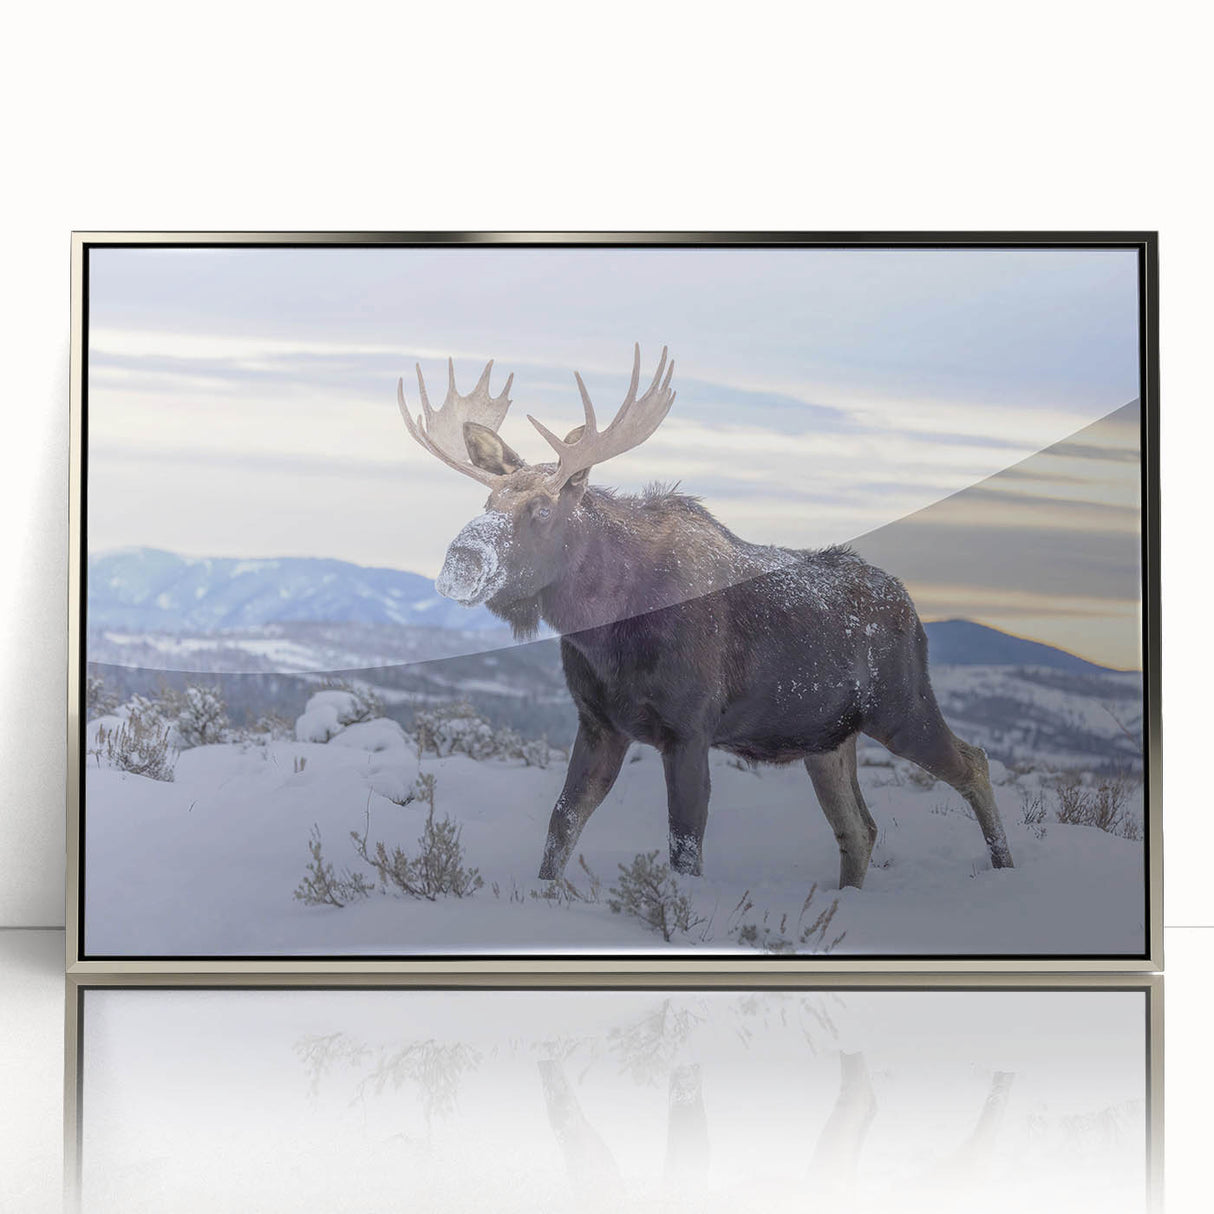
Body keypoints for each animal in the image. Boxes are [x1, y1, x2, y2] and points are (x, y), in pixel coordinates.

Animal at [397, 346, 1013, 889]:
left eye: (543, 508)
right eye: (487, 503)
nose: (461, 561)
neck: (604, 624)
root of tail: (911, 608)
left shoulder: (689, 729)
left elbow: (685, 846)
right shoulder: (599, 723)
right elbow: (561, 825)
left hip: (901, 707)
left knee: (975, 762)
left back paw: (1005, 869)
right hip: (828, 740)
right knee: (860, 829)